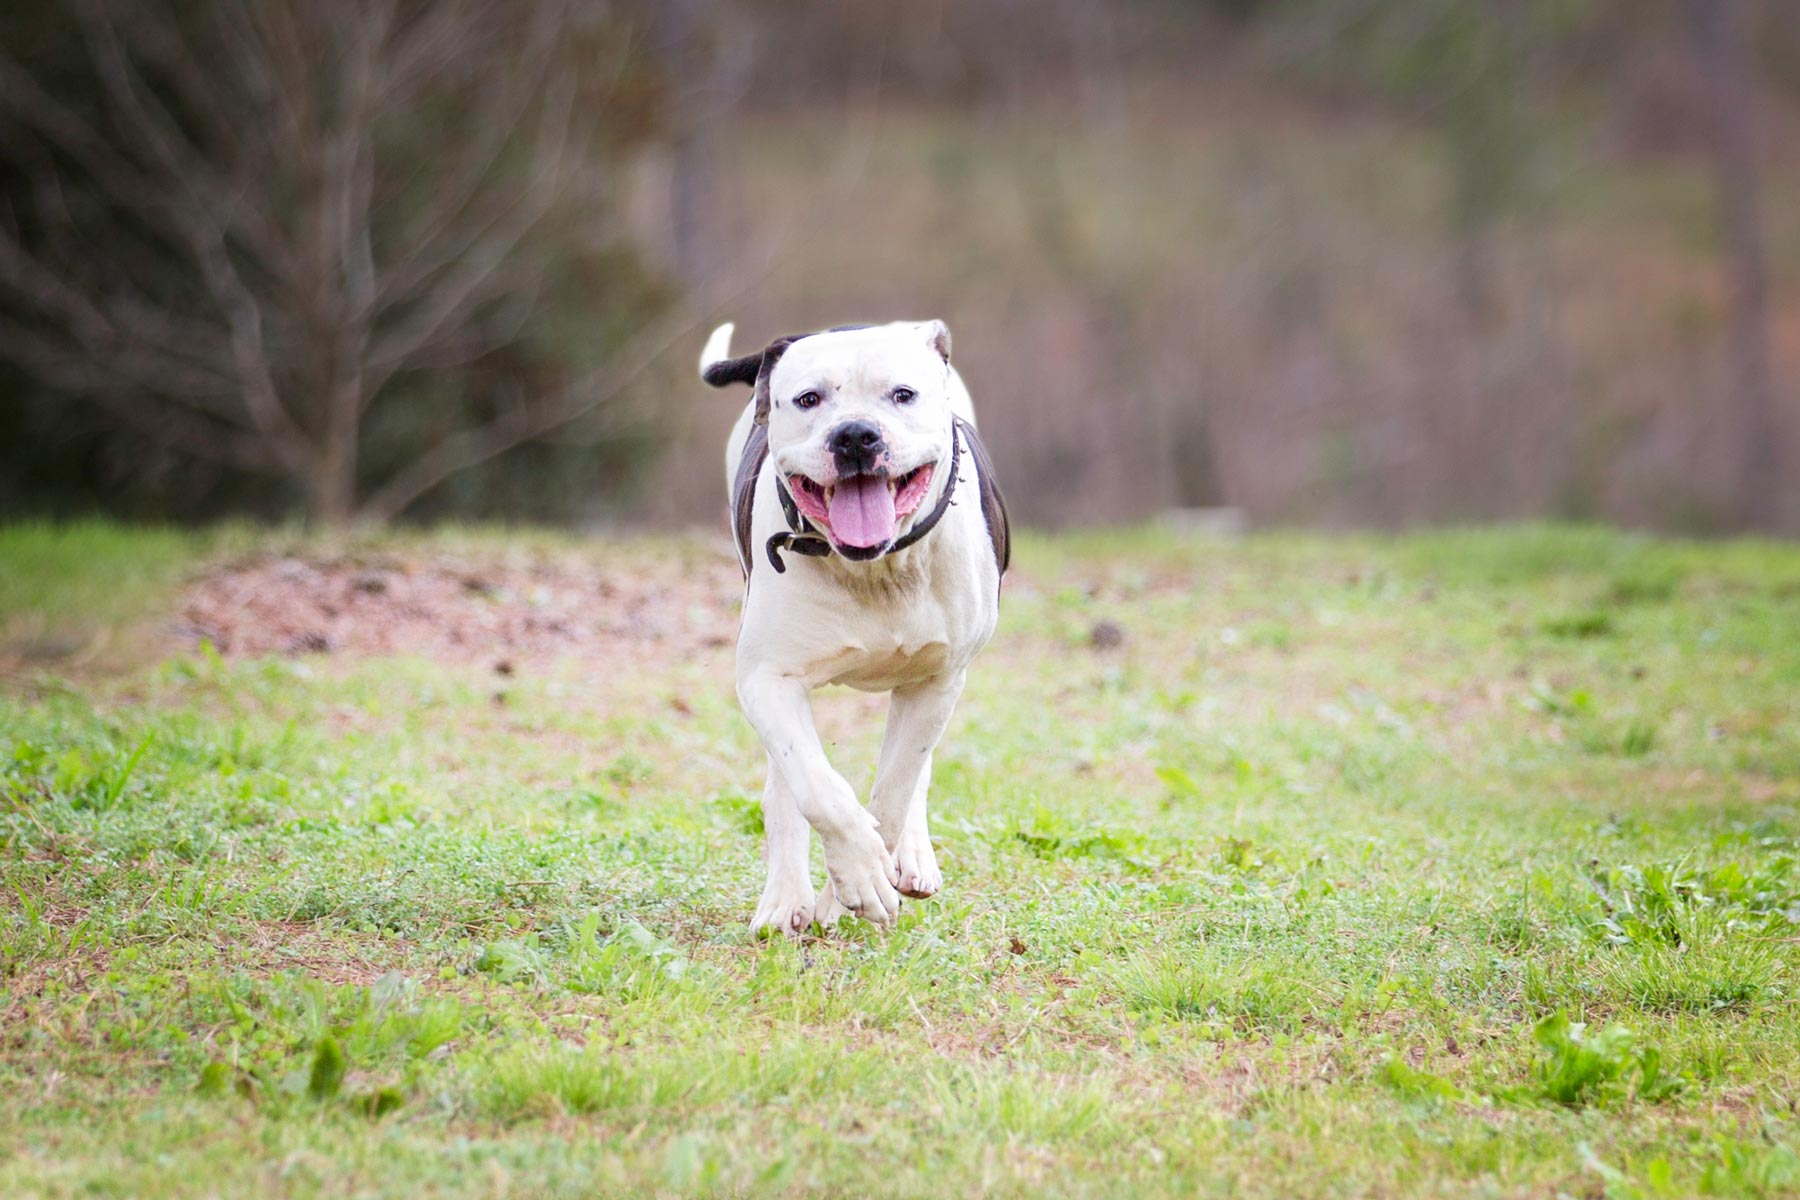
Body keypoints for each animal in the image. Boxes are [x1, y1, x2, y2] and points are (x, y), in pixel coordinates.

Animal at [702, 322, 1015, 935]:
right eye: (808, 399)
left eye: (902, 394)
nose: (854, 435)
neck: (877, 567)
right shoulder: (767, 679)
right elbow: (818, 788)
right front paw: (857, 875)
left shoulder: (937, 681)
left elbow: (894, 789)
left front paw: (853, 887)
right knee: (784, 786)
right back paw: (784, 899)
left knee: (914, 774)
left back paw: (910, 859)